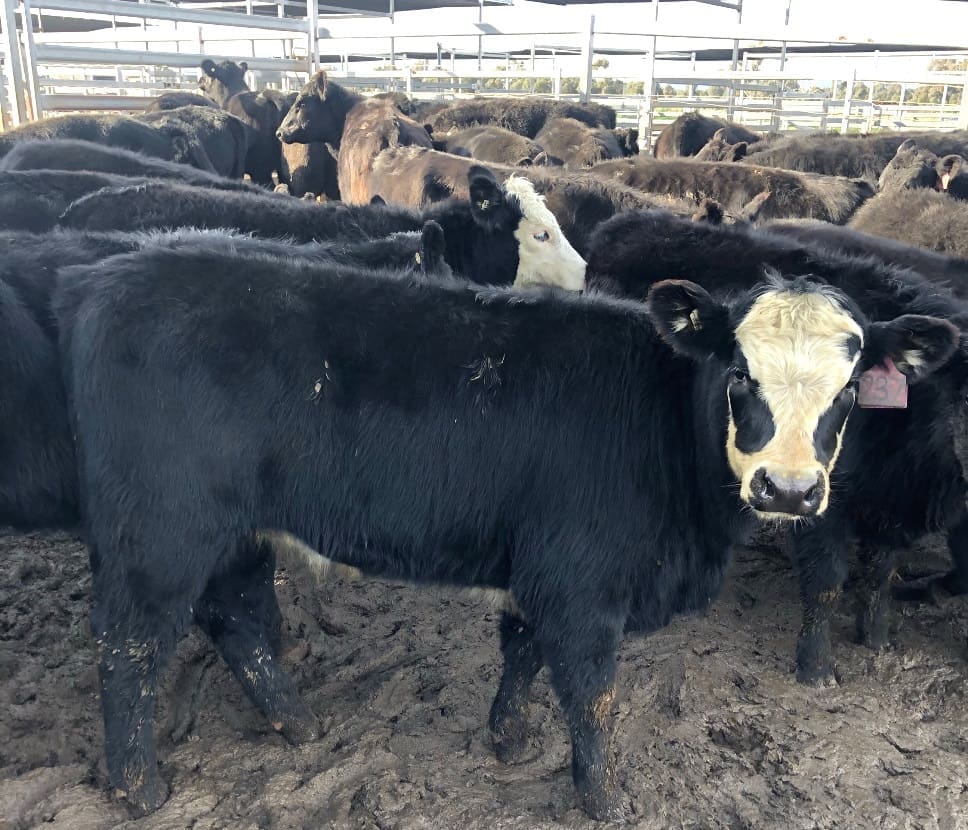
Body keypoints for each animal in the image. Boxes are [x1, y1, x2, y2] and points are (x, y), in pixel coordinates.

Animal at [55, 234, 948, 819]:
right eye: (738, 371)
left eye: (847, 390)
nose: (789, 490)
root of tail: (116, 273)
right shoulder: (583, 583)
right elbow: (592, 693)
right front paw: (602, 797)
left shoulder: (538, 561)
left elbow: (520, 649)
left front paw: (507, 738)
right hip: (159, 535)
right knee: (130, 645)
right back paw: (139, 786)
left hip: (228, 534)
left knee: (231, 616)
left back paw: (295, 723)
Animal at [584, 209, 968, 683]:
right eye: (738, 373)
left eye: (851, 386)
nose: (786, 488)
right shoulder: (827, 507)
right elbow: (826, 583)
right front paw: (816, 668)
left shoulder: (891, 504)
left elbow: (882, 573)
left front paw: (875, 638)